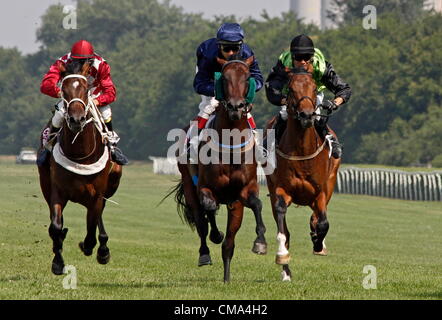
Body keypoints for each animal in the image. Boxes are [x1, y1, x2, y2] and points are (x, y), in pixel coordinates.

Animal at [36, 60, 121, 276]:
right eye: (64, 90)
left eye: (86, 89)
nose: (76, 119)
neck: (80, 155)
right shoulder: (57, 191)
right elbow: (56, 226)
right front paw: (58, 262)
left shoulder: (97, 194)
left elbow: (91, 227)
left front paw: (93, 247)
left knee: (99, 216)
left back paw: (102, 249)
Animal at [169, 55, 266, 282]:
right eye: (224, 78)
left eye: (247, 77)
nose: (235, 107)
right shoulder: (205, 188)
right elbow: (209, 208)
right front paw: (215, 234)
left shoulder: (242, 193)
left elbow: (256, 204)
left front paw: (260, 242)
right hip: (189, 185)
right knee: (201, 219)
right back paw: (206, 251)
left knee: (228, 240)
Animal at [264, 63, 340, 282]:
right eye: (291, 89)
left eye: (314, 88)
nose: (306, 115)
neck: (302, 152)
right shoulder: (280, 190)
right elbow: (283, 227)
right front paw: (283, 260)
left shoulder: (321, 192)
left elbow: (323, 223)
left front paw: (318, 242)